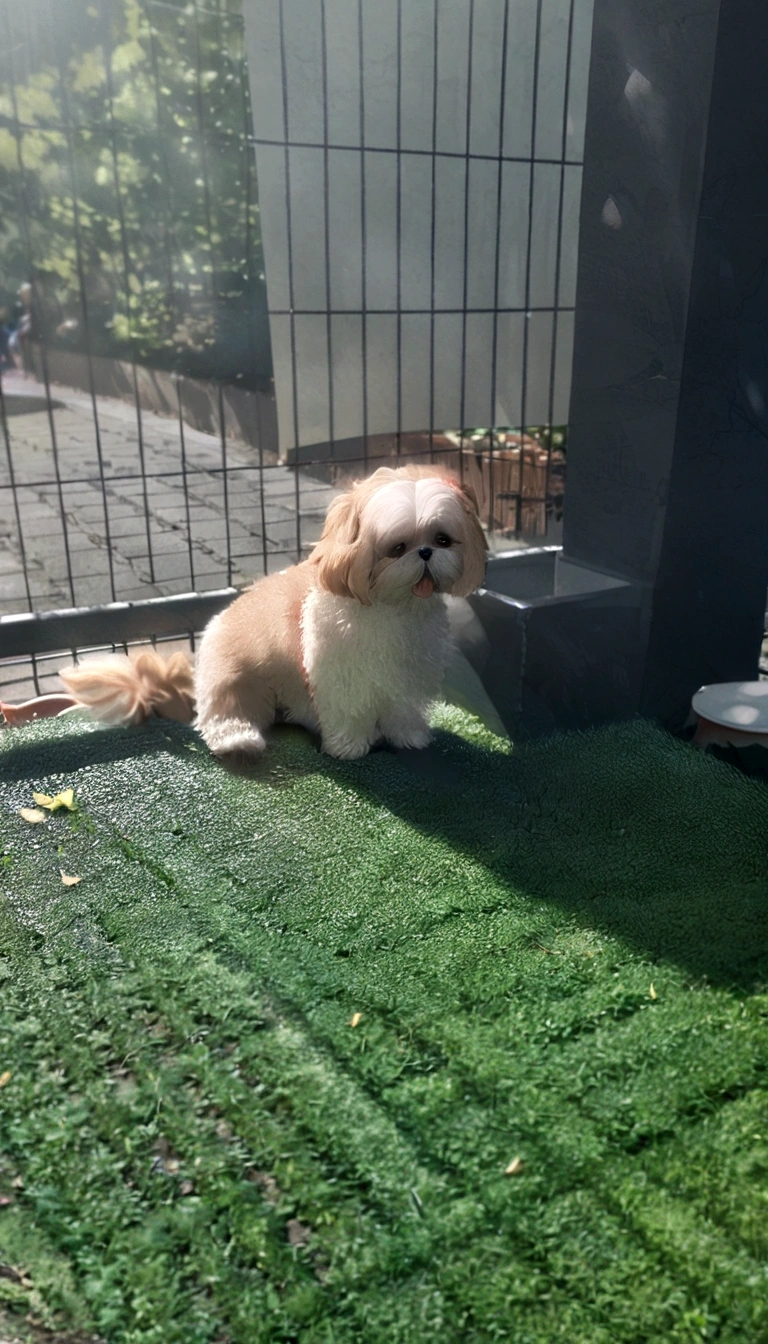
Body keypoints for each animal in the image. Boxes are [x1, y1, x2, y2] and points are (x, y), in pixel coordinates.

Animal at [43, 462, 486, 758]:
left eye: (442, 539)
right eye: (396, 547)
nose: (425, 552)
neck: (392, 607)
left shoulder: (406, 676)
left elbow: (402, 710)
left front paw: (409, 738)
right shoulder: (338, 676)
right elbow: (348, 712)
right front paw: (348, 748)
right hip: (233, 679)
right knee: (223, 716)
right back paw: (238, 738)